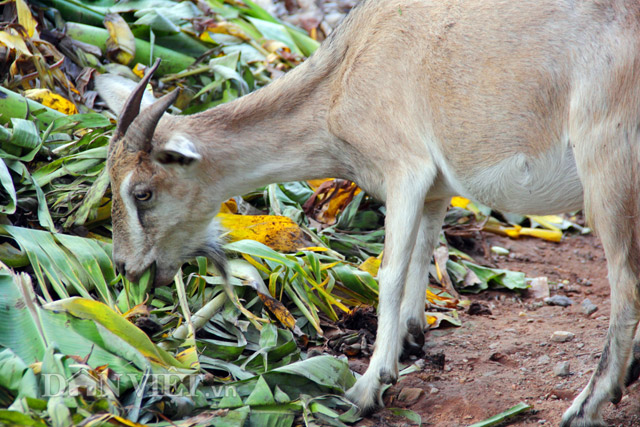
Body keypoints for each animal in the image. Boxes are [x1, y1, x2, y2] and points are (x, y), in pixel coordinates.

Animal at [94, 1, 640, 426]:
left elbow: (390, 272)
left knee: (625, 279)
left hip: (608, 169)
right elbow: (422, 252)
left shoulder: (405, 172)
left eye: (141, 192)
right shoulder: (435, 188)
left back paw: (589, 404)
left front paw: (366, 388)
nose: (125, 267)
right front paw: (412, 340)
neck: (349, 69)